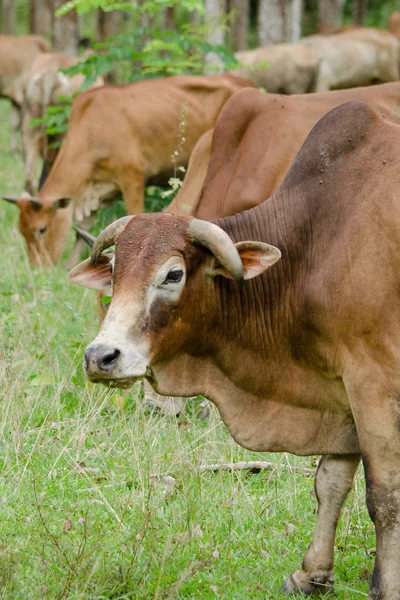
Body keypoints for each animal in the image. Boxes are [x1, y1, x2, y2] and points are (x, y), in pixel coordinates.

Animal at [70, 101, 400, 596]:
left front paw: (387, 585)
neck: (317, 244)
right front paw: (311, 573)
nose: (101, 357)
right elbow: (331, 481)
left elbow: (384, 498)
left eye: (173, 274)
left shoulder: (372, 383)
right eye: (112, 272)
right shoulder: (338, 387)